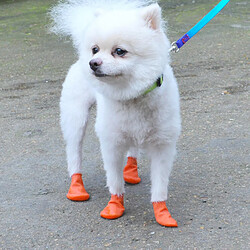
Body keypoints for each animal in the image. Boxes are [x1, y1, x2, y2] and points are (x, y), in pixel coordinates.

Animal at [50, 0, 180, 227]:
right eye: (95, 50)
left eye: (119, 51)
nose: (93, 62)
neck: (132, 95)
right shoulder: (112, 143)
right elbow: (114, 180)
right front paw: (115, 206)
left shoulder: (163, 145)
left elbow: (160, 184)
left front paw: (162, 212)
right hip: (76, 119)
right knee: (74, 152)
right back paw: (76, 187)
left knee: (133, 150)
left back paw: (131, 171)